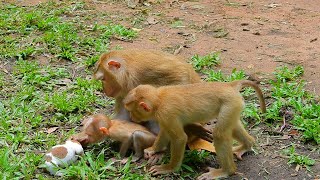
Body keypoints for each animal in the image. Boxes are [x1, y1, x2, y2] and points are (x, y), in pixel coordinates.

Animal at [124, 80, 266, 179]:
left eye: (132, 111)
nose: (131, 117)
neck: (159, 99)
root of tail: (229, 86)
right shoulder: (163, 116)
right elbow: (165, 131)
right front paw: (153, 149)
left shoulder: (166, 113)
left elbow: (180, 138)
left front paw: (169, 168)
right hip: (234, 105)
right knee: (233, 127)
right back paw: (248, 145)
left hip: (230, 104)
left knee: (219, 134)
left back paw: (227, 170)